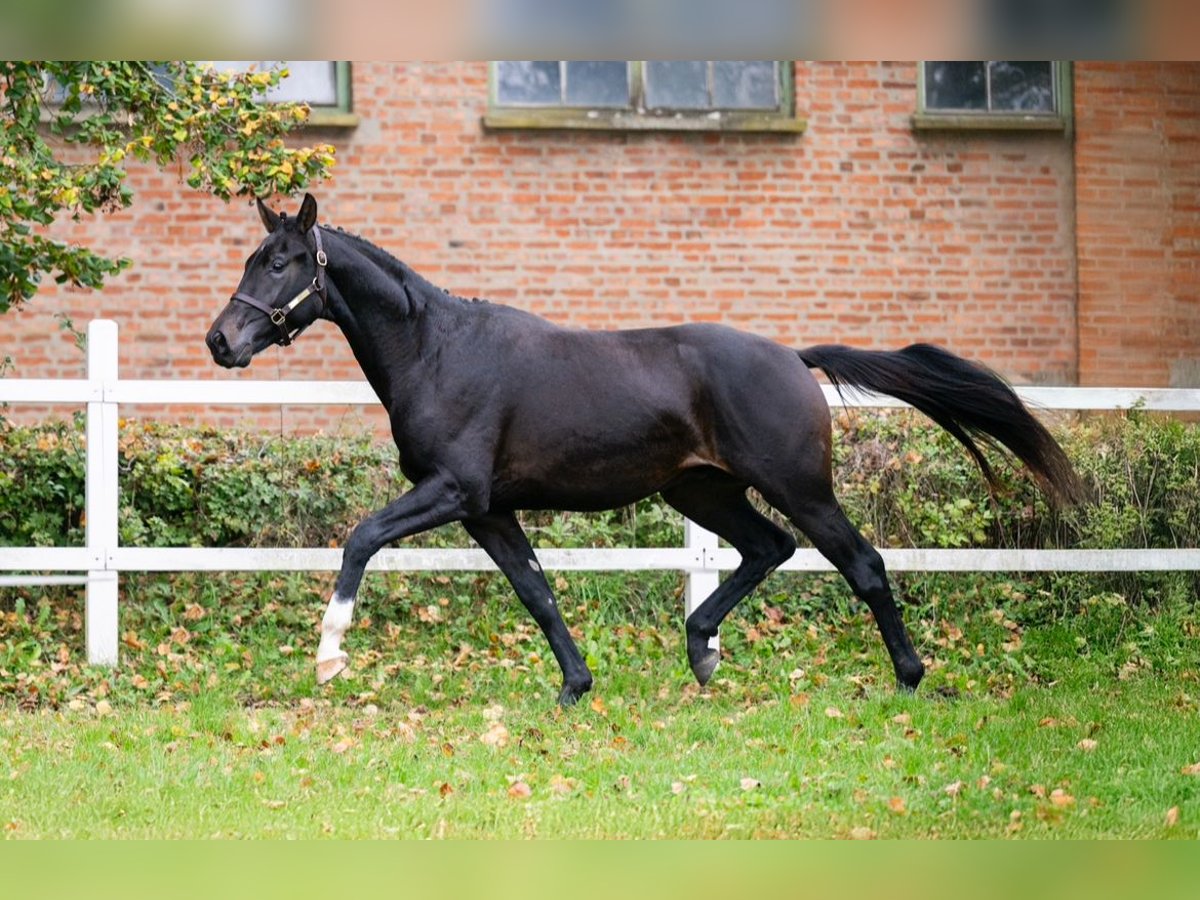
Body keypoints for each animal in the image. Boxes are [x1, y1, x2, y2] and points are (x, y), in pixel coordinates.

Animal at [208, 194, 1089, 710]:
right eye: (252, 258)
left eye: (282, 261)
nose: (222, 341)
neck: (438, 350)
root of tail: (792, 356)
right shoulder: (488, 509)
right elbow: (538, 593)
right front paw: (575, 687)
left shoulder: (452, 490)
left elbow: (360, 537)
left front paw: (329, 655)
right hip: (700, 491)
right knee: (769, 549)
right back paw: (702, 651)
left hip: (797, 485)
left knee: (861, 563)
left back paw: (910, 678)